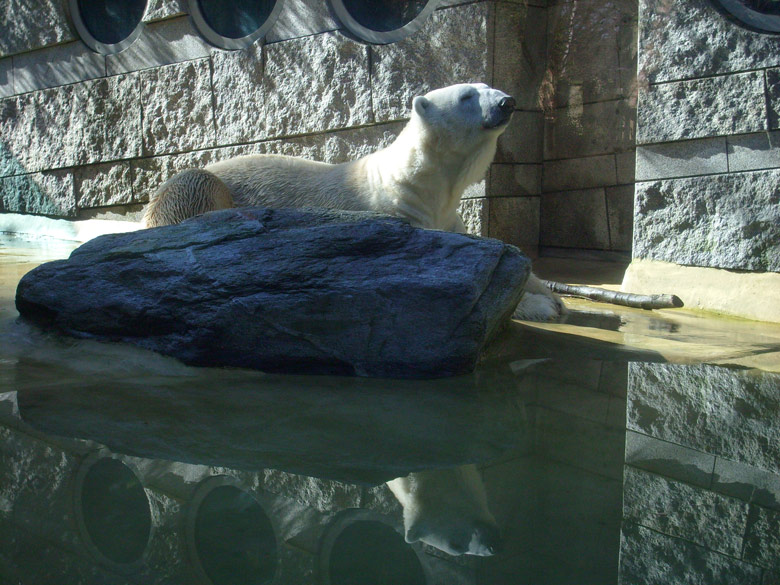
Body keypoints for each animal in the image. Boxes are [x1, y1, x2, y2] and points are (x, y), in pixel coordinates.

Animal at [143, 82, 564, 320]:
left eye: (489, 85)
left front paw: (549, 294)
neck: (422, 185)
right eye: (467, 96)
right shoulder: (398, 213)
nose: (508, 102)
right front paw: (542, 306)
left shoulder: (448, 216)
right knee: (196, 185)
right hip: (195, 187)